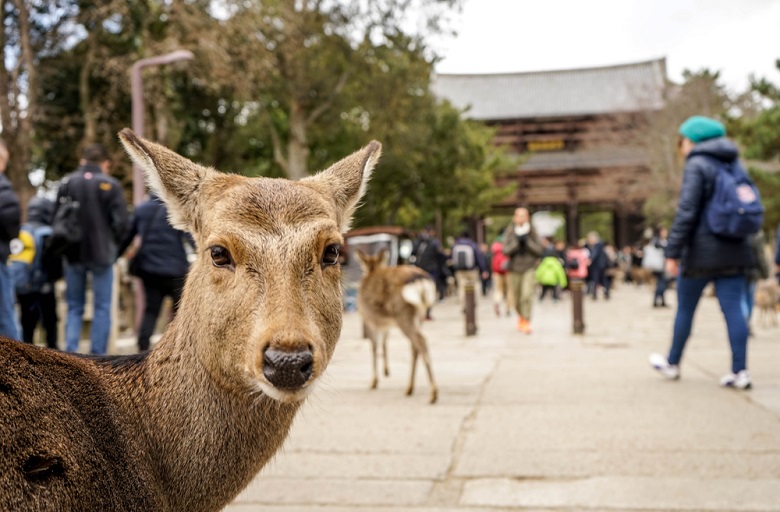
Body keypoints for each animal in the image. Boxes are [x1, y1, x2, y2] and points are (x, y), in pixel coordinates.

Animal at [354, 251, 438, 404]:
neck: (372, 269)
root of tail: (421, 281)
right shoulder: (385, 324)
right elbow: (384, 343)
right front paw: (386, 371)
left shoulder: (369, 319)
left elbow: (374, 347)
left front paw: (374, 382)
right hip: (418, 316)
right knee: (415, 346)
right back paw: (410, 388)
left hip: (403, 313)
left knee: (421, 341)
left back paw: (433, 394)